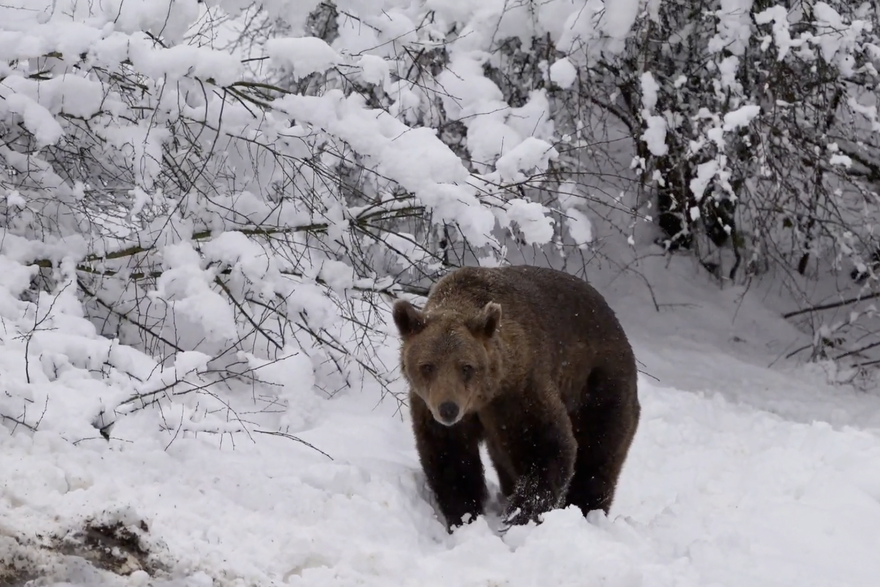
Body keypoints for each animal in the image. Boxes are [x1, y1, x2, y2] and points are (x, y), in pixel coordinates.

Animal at [396, 266, 644, 532]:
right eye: (427, 366)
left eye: (466, 367)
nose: (448, 409)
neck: (483, 398)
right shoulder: (432, 410)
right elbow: (451, 461)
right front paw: (465, 516)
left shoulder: (518, 393)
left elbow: (548, 447)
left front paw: (519, 513)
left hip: (600, 386)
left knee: (598, 452)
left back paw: (585, 510)